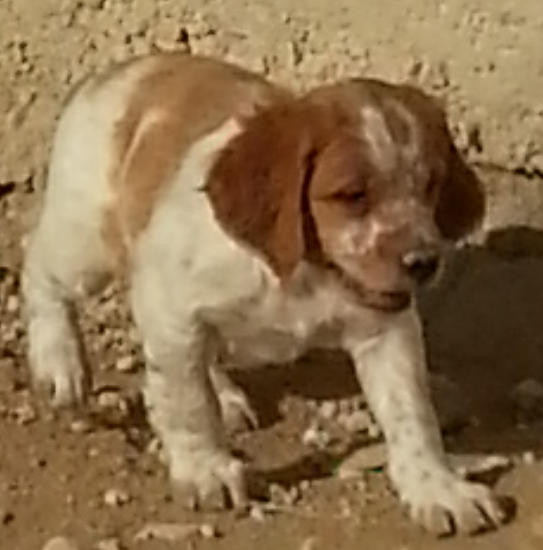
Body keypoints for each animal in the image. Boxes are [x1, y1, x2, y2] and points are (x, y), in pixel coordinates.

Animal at [21, 51, 506, 536]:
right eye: (352, 195)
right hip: (85, 242)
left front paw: (438, 488)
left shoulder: (385, 330)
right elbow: (186, 400)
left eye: (430, 186)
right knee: (38, 269)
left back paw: (225, 396)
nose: (423, 262)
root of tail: (129, 66)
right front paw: (206, 470)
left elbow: (412, 413)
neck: (305, 274)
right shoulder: (171, 310)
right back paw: (59, 361)